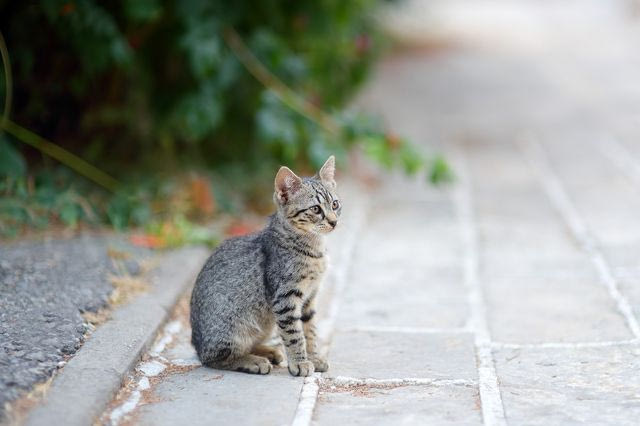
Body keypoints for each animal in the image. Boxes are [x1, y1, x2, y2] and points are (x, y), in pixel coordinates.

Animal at [189, 156, 340, 376]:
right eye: (315, 209)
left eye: (335, 204)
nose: (334, 222)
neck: (314, 248)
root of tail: (197, 345)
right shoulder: (285, 299)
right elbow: (294, 335)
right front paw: (300, 362)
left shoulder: (309, 298)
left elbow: (309, 330)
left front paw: (313, 357)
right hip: (234, 329)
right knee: (215, 358)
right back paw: (254, 361)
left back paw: (268, 351)